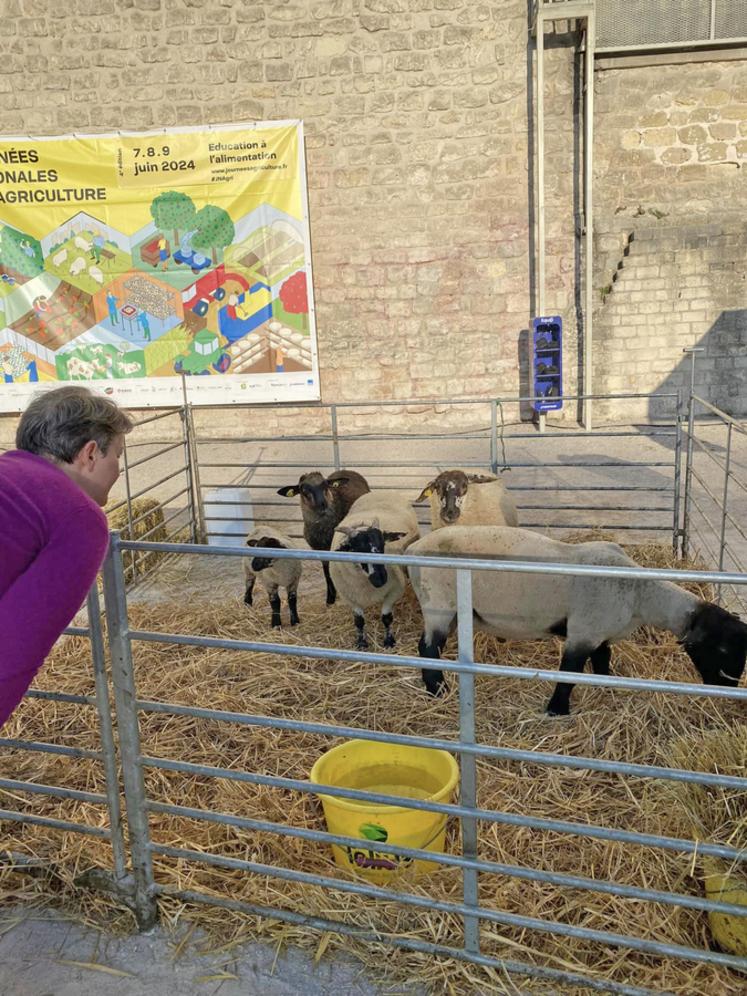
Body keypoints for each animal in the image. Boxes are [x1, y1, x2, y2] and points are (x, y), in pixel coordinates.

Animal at [278, 468, 372, 608]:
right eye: (303, 490)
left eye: (326, 485)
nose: (322, 504)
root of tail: (346, 470)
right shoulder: (320, 552)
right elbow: (327, 573)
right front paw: (330, 598)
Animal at [332, 492, 420, 652]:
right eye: (356, 549)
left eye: (383, 545)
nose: (381, 579)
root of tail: (378, 492)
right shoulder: (349, 596)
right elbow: (359, 621)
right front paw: (361, 642)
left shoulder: (395, 590)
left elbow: (386, 618)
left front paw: (389, 641)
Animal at [410, 524, 747, 712]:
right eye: (721, 649)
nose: (729, 689)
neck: (640, 594)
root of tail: (414, 549)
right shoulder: (583, 631)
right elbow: (570, 674)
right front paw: (557, 711)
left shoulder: (600, 633)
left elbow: (602, 662)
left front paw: (605, 689)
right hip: (438, 603)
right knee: (428, 648)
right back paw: (437, 691)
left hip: (451, 611)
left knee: (425, 646)